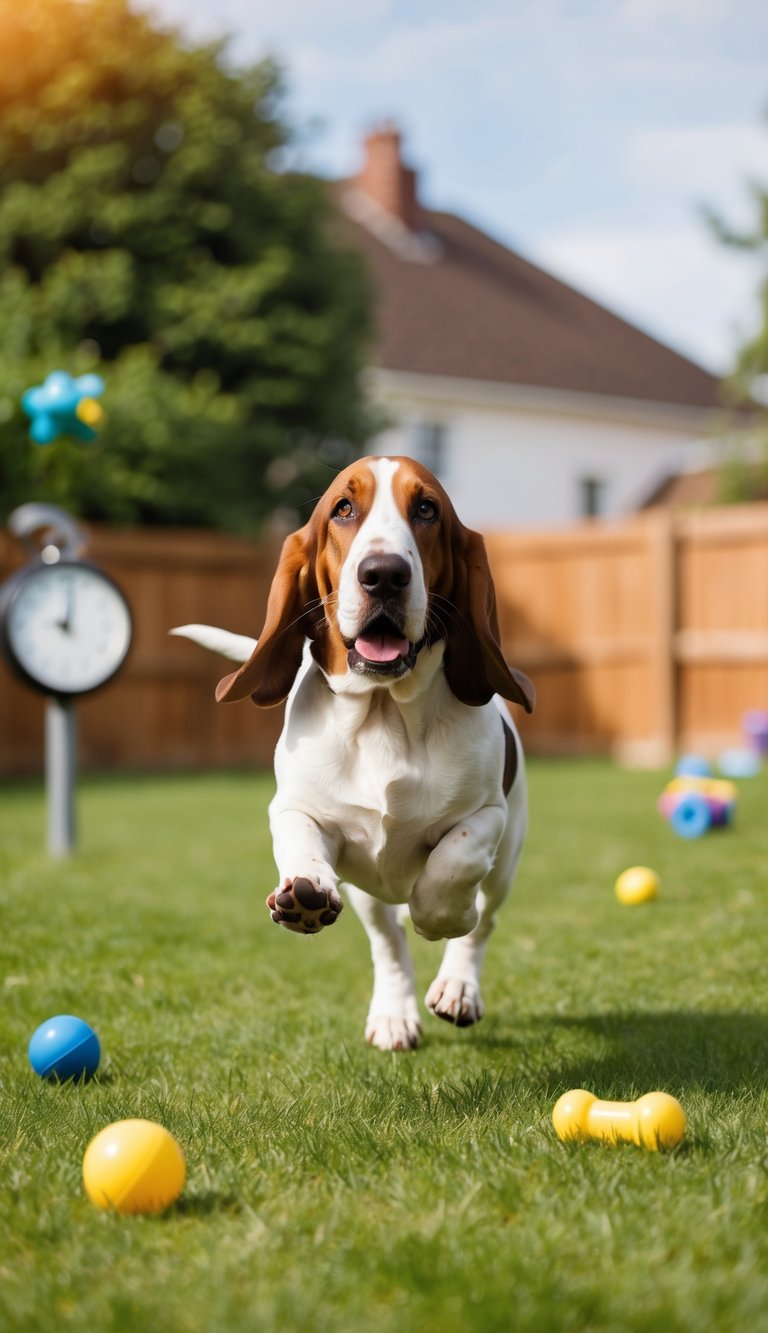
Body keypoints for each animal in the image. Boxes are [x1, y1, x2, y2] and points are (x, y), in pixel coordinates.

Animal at [172, 455, 534, 1051]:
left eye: (426, 509)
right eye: (343, 508)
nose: (384, 574)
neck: (385, 714)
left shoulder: (488, 817)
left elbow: (453, 865)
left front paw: (439, 917)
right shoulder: (294, 809)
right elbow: (300, 839)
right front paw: (305, 892)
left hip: (506, 863)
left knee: (484, 921)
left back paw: (458, 987)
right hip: (369, 891)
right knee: (387, 941)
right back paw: (393, 1014)